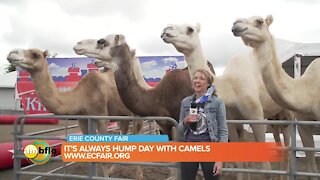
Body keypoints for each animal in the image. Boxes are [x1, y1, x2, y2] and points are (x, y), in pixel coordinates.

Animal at [6, 46, 144, 179]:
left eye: (36, 55)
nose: (12, 53)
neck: (81, 95)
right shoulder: (82, 119)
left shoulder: (101, 117)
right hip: (123, 115)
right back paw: (114, 169)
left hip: (136, 113)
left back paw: (139, 175)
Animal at [161, 22, 296, 180]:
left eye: (190, 29)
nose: (166, 30)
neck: (230, 87)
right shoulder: (231, 121)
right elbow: (239, 162)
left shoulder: (256, 116)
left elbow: (265, 167)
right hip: (273, 117)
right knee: (280, 146)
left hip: (286, 113)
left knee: (287, 148)